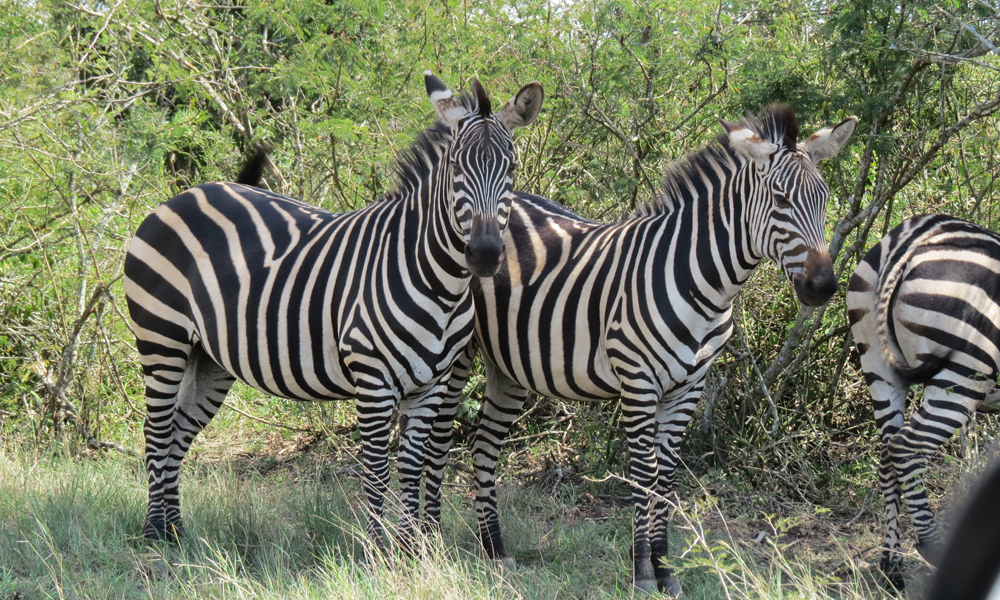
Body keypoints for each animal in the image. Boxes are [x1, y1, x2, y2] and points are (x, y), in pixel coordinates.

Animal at [121, 71, 544, 548]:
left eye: (511, 169)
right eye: (456, 167)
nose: (486, 255)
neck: (440, 284)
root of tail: (186, 195)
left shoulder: (431, 385)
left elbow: (411, 468)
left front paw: (410, 551)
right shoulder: (373, 380)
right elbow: (378, 472)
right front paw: (378, 551)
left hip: (209, 356)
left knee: (178, 433)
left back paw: (175, 532)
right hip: (162, 338)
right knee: (156, 432)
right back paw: (153, 531)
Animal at [418, 105, 856, 592]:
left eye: (824, 198)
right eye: (780, 199)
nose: (824, 287)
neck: (702, 283)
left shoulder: (688, 388)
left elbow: (666, 477)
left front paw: (667, 573)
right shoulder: (638, 381)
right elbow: (645, 475)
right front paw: (644, 574)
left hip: (510, 363)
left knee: (484, 444)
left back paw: (495, 550)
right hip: (458, 357)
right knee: (438, 441)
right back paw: (431, 540)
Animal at [848, 214, 1000, 592]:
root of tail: (912, 240)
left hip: (877, 363)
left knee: (887, 453)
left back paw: (892, 565)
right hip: (965, 371)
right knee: (907, 447)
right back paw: (931, 546)